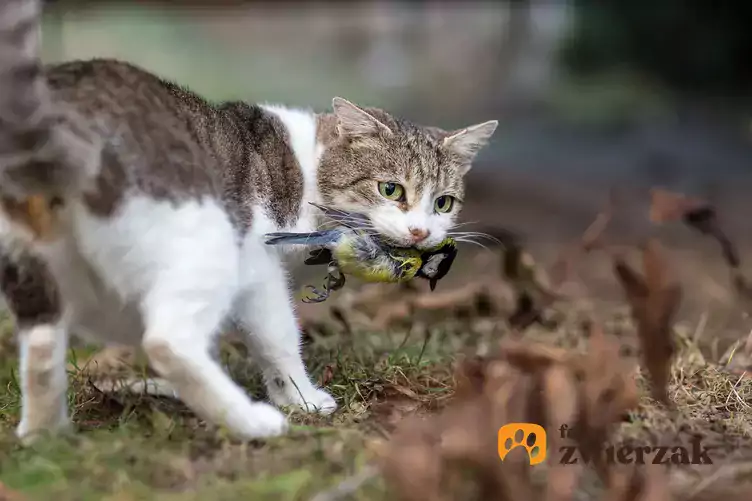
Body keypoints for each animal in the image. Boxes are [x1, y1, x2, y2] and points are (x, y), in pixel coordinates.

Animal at [0, 0, 500, 444]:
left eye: (443, 203)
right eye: (390, 189)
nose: (421, 232)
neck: (306, 169)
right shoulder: (258, 267)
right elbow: (277, 338)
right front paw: (301, 400)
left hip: (32, 267)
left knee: (41, 348)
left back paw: (46, 436)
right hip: (208, 244)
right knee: (166, 340)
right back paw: (252, 423)